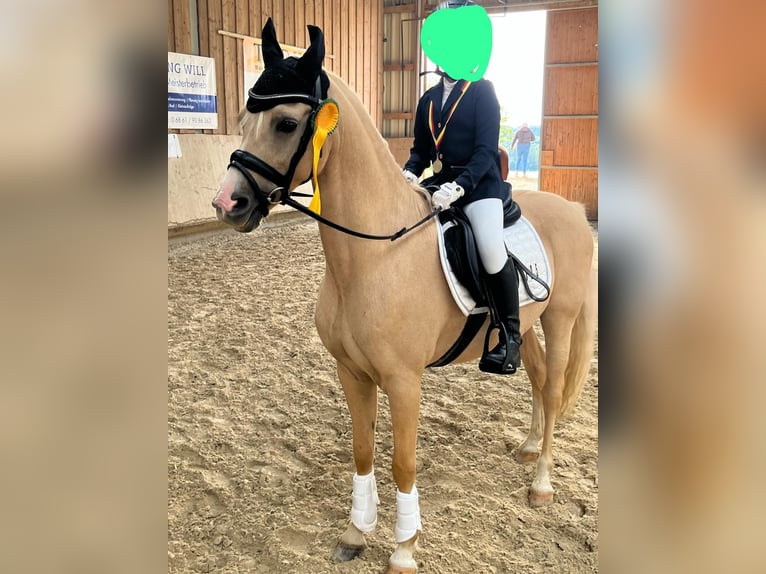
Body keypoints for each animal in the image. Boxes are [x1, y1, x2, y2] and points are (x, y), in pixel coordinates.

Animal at [212, 20, 596, 574]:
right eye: (243, 120)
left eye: (285, 124)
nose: (227, 204)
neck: (372, 257)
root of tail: (570, 208)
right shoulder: (351, 372)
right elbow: (362, 451)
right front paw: (355, 532)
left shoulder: (404, 380)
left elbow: (402, 462)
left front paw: (404, 548)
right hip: (525, 326)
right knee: (539, 376)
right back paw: (526, 447)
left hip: (562, 318)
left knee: (552, 387)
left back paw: (541, 482)